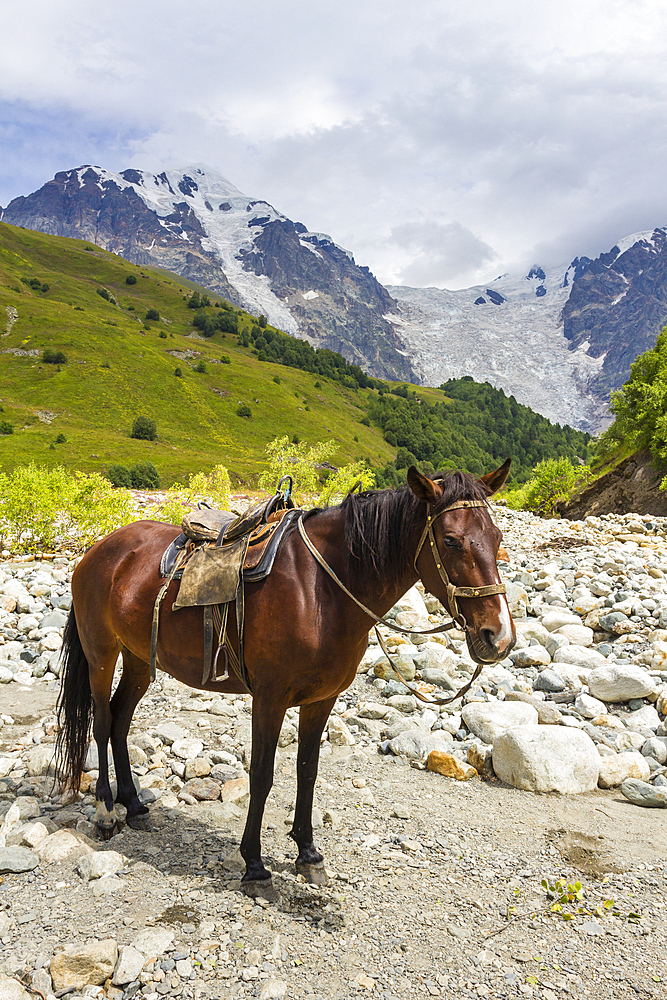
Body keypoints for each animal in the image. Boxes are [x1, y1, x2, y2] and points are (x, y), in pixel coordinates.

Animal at [57, 460, 516, 884]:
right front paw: (254, 864)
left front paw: (308, 852)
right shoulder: (270, 698)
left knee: (120, 720)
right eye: (451, 541)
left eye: (497, 538)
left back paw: (134, 805)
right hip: (102, 654)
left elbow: (307, 771)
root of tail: (100, 550)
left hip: (138, 660)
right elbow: (262, 775)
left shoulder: (321, 699)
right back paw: (105, 812)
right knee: (102, 722)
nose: (498, 637)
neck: (321, 591)